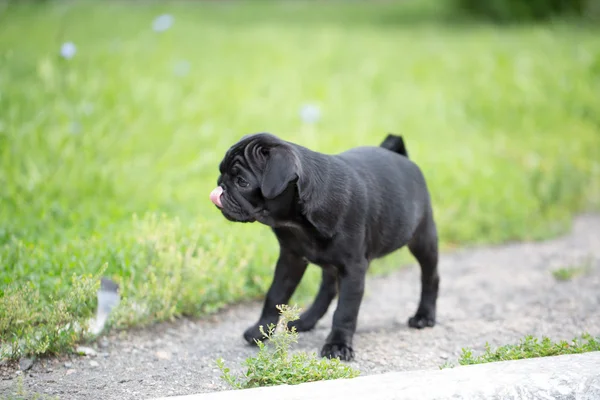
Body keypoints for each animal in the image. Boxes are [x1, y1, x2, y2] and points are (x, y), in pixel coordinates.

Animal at [209, 133, 438, 360]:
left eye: (242, 182)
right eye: (221, 172)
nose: (219, 187)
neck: (297, 223)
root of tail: (399, 154)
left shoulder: (353, 269)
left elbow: (345, 310)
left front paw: (338, 345)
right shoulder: (290, 259)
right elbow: (275, 295)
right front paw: (261, 330)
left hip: (423, 239)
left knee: (430, 277)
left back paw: (424, 316)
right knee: (327, 288)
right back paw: (306, 321)